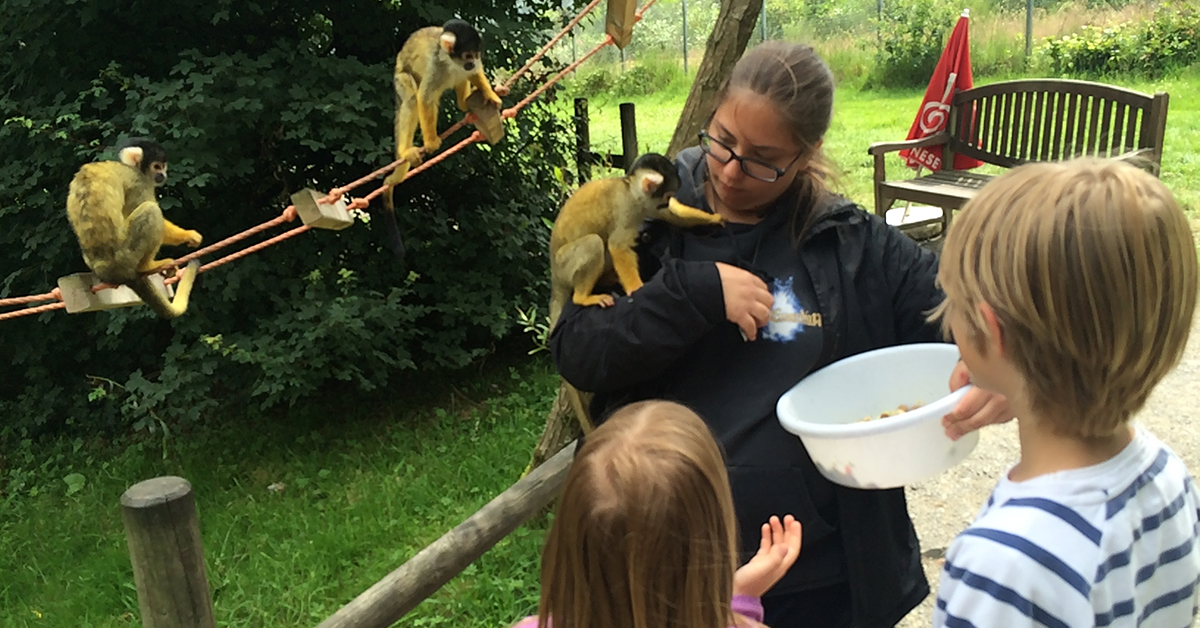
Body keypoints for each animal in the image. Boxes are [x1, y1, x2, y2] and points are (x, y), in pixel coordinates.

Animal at [66, 138, 204, 319]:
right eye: (157, 166)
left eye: (163, 166)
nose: (163, 175)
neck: (132, 167)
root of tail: (115, 273)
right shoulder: (139, 182)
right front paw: (187, 235)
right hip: (126, 255)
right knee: (151, 211)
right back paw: (147, 266)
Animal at [379, 18, 501, 260]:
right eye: (467, 55)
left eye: (476, 55)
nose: (471, 63)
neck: (450, 61)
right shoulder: (435, 66)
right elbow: (424, 99)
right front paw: (431, 141)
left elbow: (474, 74)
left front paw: (490, 94)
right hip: (401, 77)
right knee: (411, 98)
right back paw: (406, 151)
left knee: (460, 79)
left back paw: (465, 104)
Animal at [549, 154, 724, 434]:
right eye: (667, 194)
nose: (667, 201)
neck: (630, 189)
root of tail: (555, 278)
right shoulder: (629, 210)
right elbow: (618, 245)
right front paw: (636, 288)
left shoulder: (647, 208)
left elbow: (672, 217)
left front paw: (712, 218)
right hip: (566, 265)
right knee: (595, 243)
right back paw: (583, 297)